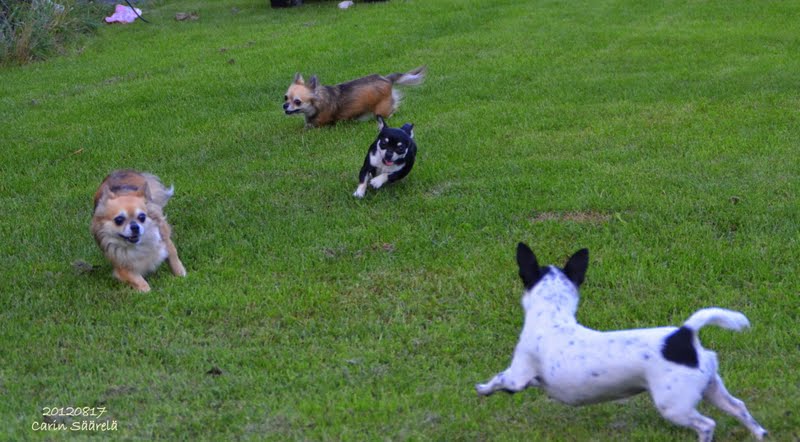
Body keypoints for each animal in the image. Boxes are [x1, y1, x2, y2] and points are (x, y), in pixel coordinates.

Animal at [283, 66, 425, 127]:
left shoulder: (316, 126)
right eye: (285, 98)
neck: (317, 102)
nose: (284, 105)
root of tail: (387, 79)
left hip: (381, 111)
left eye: (297, 101)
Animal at [476, 242, 767, 442]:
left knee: (707, 424)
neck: (553, 316)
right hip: (712, 389)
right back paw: (759, 433)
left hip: (674, 404)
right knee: (738, 407)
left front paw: (483, 388)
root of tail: (684, 335)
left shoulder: (517, 375)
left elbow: (499, 379)